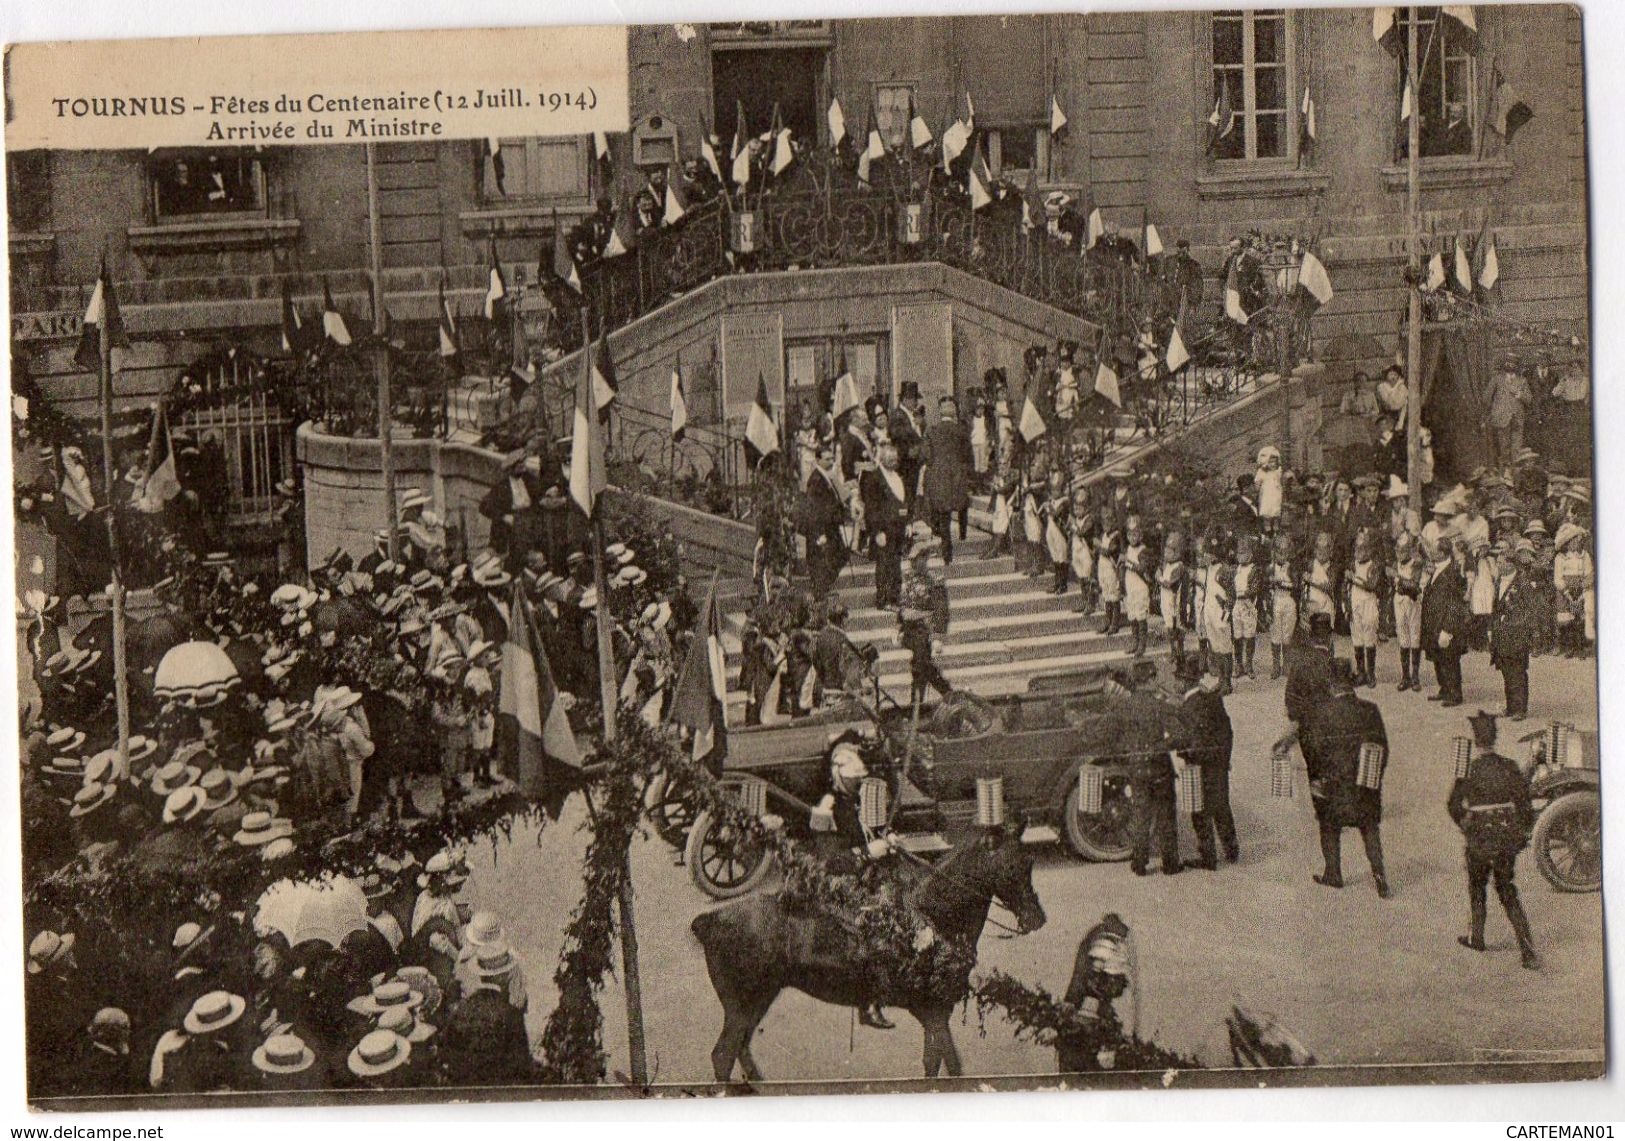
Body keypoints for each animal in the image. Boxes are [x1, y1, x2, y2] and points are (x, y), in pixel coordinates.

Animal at [685, 825, 1040, 1085]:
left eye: (1029, 862)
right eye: (1013, 865)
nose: (1036, 919)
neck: (932, 917)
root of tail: (708, 920)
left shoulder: (937, 1014)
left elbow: (938, 1062)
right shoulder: (933, 1012)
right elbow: (947, 1064)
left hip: (758, 1000)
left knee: (740, 1048)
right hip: (742, 1004)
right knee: (723, 1055)